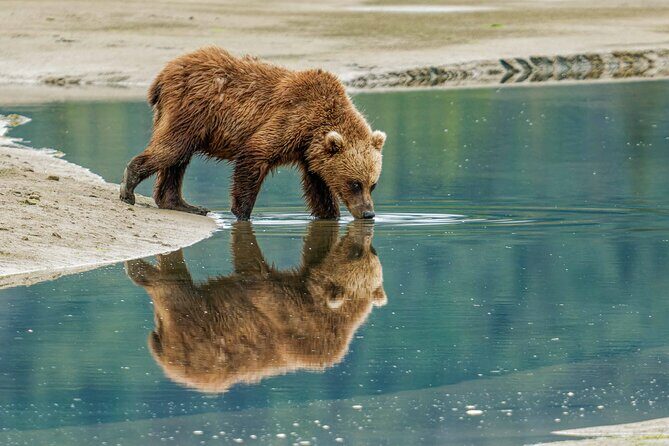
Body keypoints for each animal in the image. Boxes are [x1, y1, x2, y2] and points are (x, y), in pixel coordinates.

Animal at [119, 46, 386, 220]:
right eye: (354, 183)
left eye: (372, 184)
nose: (368, 213)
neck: (313, 129)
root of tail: (163, 74)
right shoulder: (290, 120)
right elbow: (255, 153)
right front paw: (243, 213)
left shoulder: (310, 156)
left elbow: (319, 190)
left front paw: (330, 214)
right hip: (191, 110)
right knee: (173, 149)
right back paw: (129, 187)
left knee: (178, 159)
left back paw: (182, 204)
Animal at [124, 221, 386, 393]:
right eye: (356, 252)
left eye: (372, 251)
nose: (367, 240)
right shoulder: (293, 317)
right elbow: (260, 287)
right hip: (193, 325)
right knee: (172, 290)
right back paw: (140, 272)